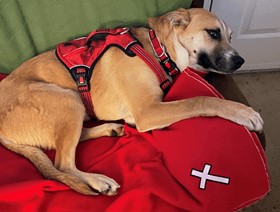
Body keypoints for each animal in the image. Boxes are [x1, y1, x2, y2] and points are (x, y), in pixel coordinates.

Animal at [0, 9, 262, 196]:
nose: (240, 61)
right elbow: (199, 100)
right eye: (213, 33)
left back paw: (109, 129)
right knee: (62, 163)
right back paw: (99, 180)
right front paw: (242, 112)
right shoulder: (148, 112)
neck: (159, 50)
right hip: (68, 98)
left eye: (230, 36)